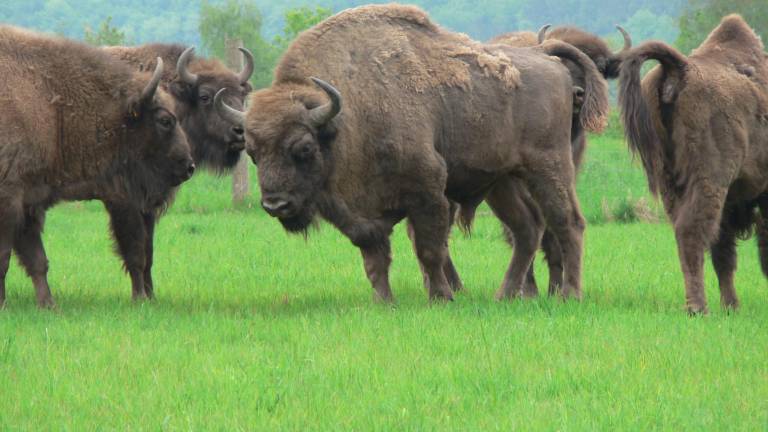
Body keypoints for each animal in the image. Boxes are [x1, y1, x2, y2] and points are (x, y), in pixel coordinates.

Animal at [0, 25, 192, 308]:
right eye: (165, 120)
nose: (189, 166)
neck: (48, 103)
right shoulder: (9, 199)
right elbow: (5, 258)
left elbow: (37, 260)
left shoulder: (28, 202)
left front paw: (49, 305)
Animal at [102, 44, 255, 300]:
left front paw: (151, 297)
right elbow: (134, 251)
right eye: (205, 96)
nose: (240, 131)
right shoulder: (124, 201)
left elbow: (148, 251)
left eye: (241, 96)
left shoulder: (149, 203)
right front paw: (138, 296)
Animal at [214, 4, 608, 300]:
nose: (275, 204)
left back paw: (569, 294)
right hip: (501, 181)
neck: (347, 113)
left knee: (567, 221)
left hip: (548, 165)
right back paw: (505, 295)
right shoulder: (362, 214)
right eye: (253, 152)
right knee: (527, 227)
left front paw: (442, 297)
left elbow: (430, 249)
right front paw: (383, 302)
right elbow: (375, 259)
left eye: (304, 147)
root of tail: (547, 58)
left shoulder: (428, 189)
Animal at [616, 12, 768, 310]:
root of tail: (680, 69)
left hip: (671, 182)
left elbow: (724, 252)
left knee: (695, 237)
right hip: (709, 181)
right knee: (692, 232)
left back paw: (718, 304)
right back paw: (699, 308)